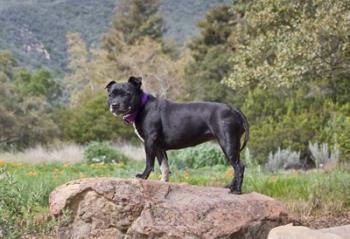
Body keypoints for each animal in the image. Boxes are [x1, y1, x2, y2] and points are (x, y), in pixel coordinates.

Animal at [106, 76, 249, 194]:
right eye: (111, 94)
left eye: (127, 94)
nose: (114, 104)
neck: (142, 106)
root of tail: (234, 109)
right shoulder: (159, 147)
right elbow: (164, 166)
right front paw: (164, 182)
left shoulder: (149, 142)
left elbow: (149, 163)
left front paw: (143, 176)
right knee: (236, 167)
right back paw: (231, 187)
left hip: (228, 143)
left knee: (239, 167)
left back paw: (236, 190)